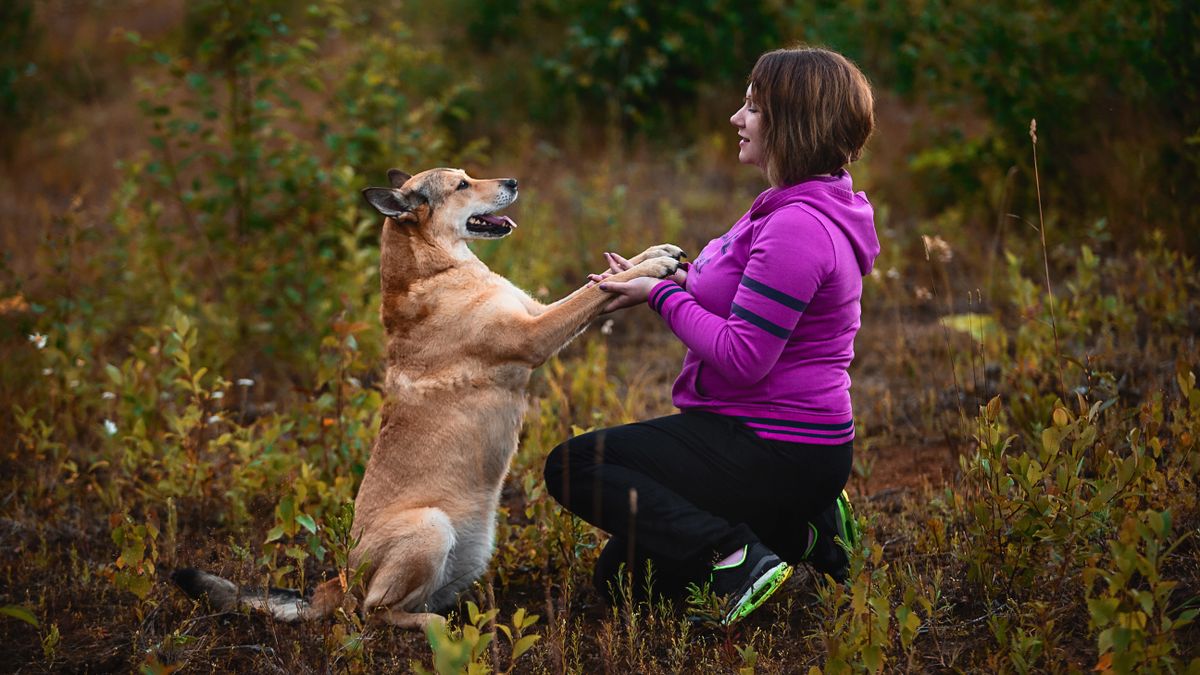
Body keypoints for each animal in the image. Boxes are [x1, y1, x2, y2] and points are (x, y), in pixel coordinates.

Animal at [175, 166, 686, 624]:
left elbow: (596, 281)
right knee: (374, 613)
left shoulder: (535, 312)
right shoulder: (534, 334)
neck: (437, 268)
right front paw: (653, 267)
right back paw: (437, 629)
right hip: (430, 529)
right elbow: (592, 294)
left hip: (470, 552)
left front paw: (653, 253)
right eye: (462, 184)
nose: (513, 182)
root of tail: (337, 580)